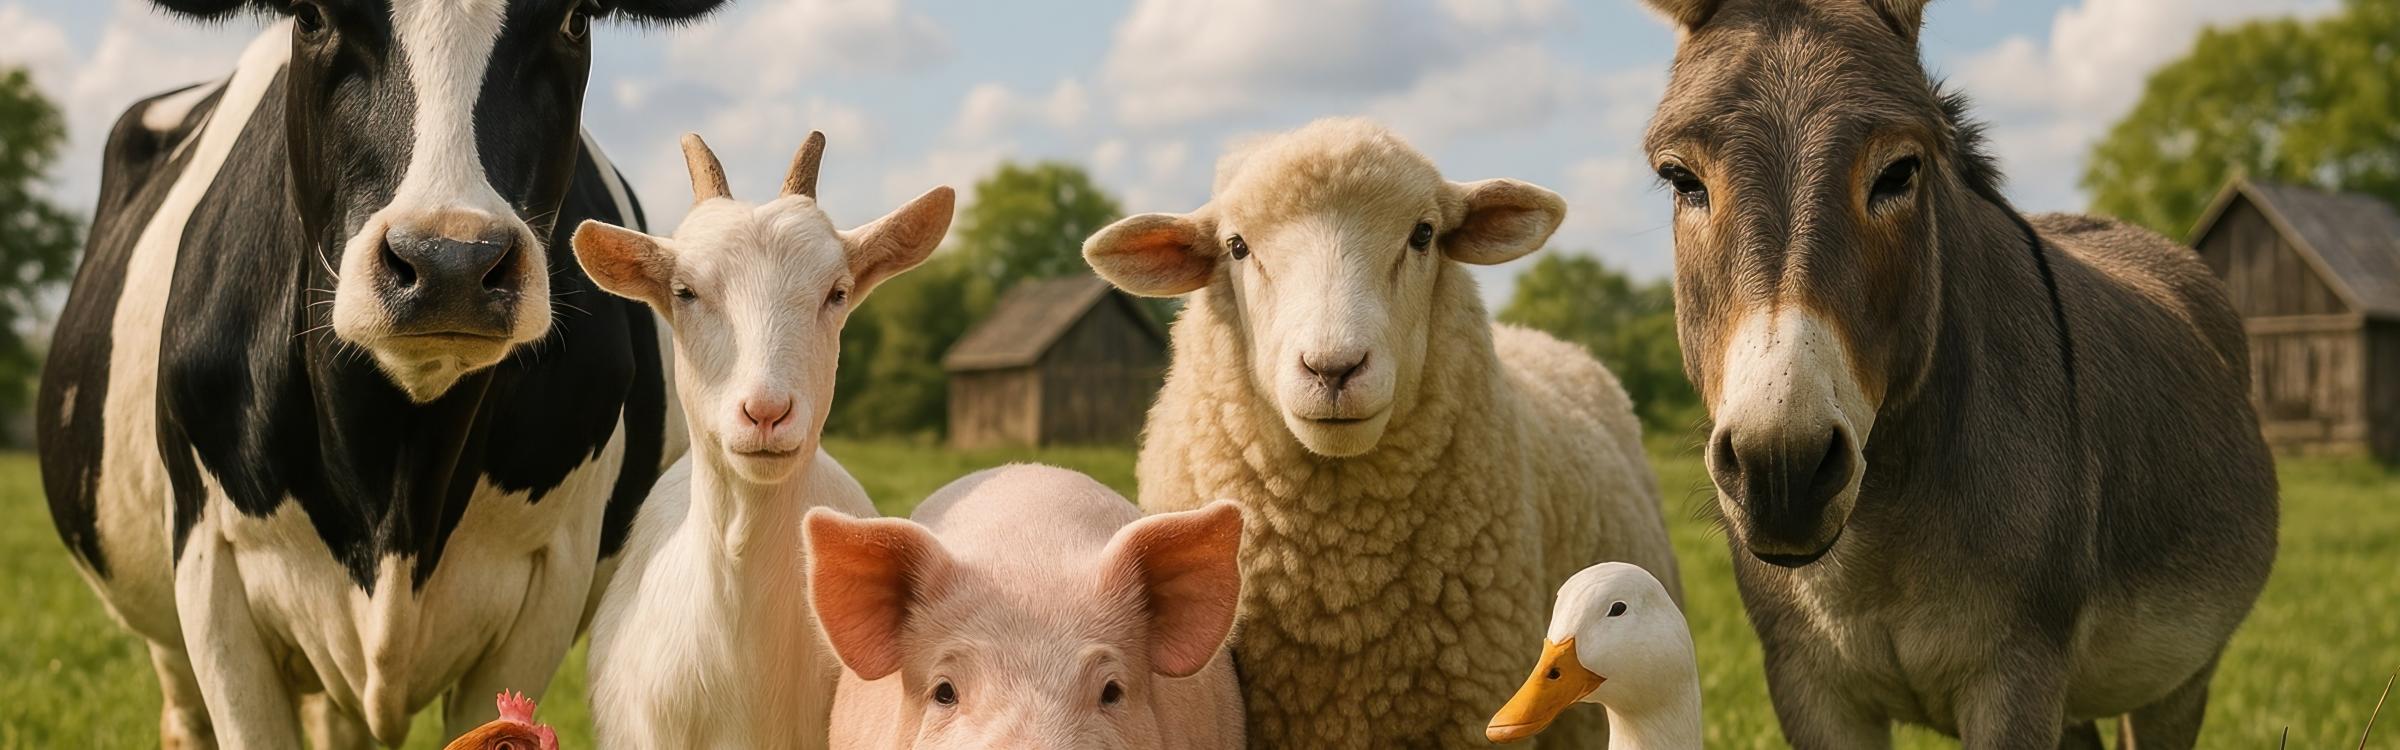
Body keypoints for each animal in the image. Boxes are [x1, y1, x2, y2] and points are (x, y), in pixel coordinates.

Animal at [34, 1, 726, 746]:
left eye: (573, 21)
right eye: (311, 17)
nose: (450, 262)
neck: (396, 484)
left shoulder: (552, 577)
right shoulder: (209, 572)